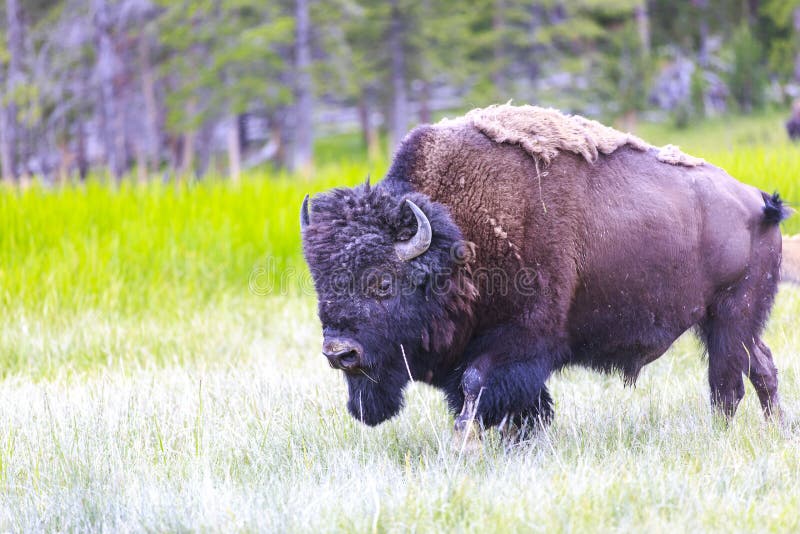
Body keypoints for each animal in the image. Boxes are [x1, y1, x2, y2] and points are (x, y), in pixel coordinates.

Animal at [301, 104, 790, 434]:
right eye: (321, 284)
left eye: (382, 283)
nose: (339, 352)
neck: (457, 236)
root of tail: (757, 201)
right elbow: (511, 403)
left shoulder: (521, 341)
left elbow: (479, 387)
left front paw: (465, 442)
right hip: (731, 321)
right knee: (761, 365)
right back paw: (779, 430)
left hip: (730, 316)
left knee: (727, 384)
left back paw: (727, 432)